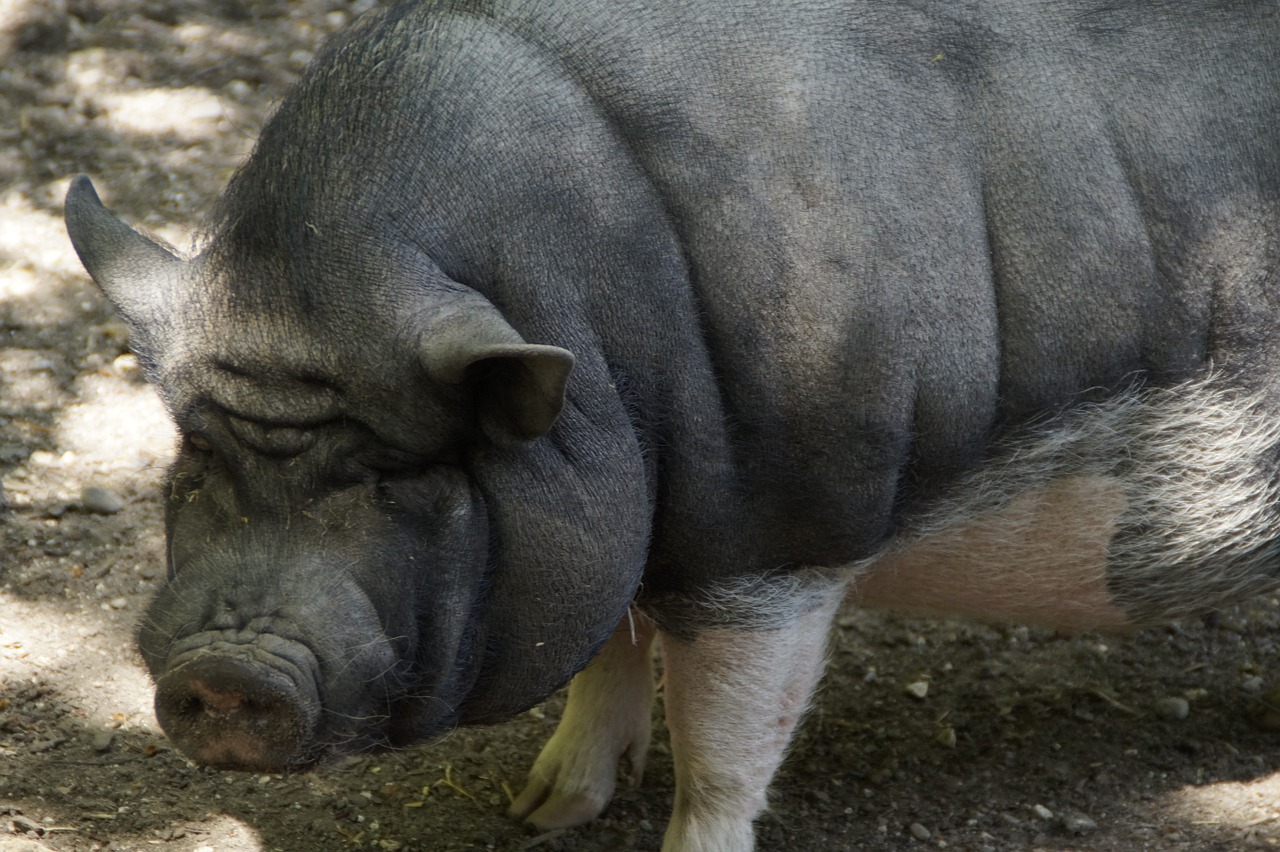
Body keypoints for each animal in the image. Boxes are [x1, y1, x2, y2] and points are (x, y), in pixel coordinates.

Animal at [64, 0, 1274, 844]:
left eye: (397, 478)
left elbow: (726, 752)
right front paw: (538, 810)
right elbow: (609, 651)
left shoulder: (776, 543)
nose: (226, 670)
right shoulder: (634, 524)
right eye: (194, 457)